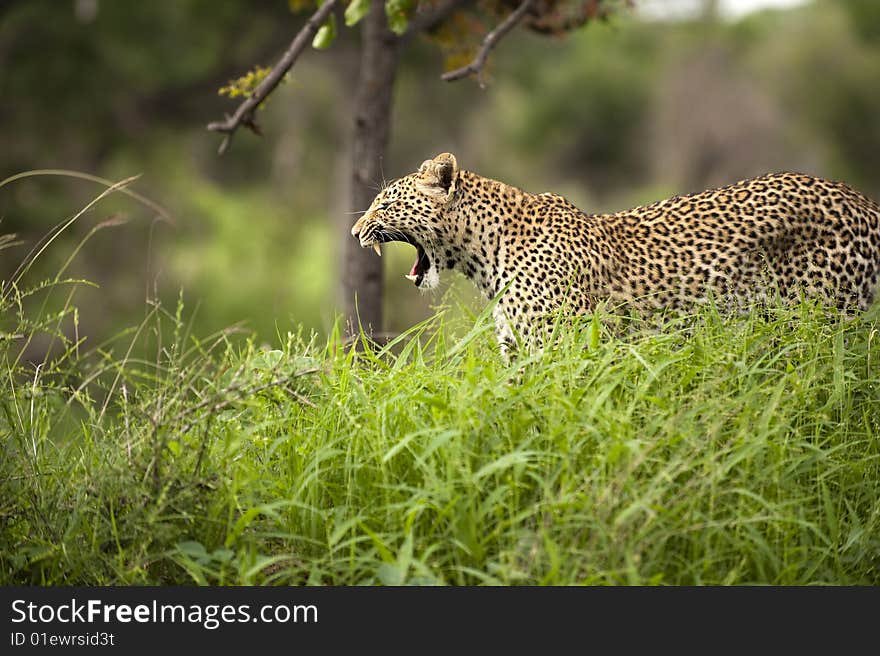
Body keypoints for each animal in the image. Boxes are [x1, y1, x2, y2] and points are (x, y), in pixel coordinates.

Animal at [348, 152, 880, 352]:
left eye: (385, 203)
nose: (355, 232)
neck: (484, 256)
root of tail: (861, 200)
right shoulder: (518, 356)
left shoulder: (561, 351)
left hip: (824, 319)